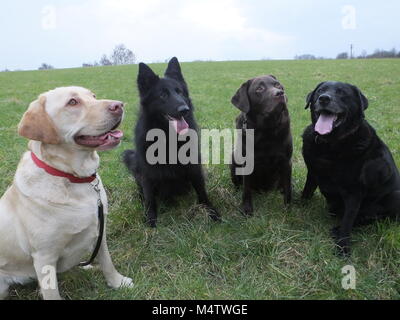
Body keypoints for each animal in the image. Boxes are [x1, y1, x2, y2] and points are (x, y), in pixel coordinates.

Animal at [122, 57, 220, 228]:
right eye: (163, 95)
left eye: (179, 92)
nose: (184, 109)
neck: (169, 137)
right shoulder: (148, 172)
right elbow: (150, 198)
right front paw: (151, 221)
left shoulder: (194, 166)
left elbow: (202, 191)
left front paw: (211, 211)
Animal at [304, 81, 400, 256]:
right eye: (320, 91)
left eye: (342, 93)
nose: (324, 98)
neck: (330, 144)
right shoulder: (313, 173)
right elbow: (306, 192)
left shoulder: (354, 192)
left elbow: (348, 221)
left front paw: (343, 246)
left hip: (395, 196)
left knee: (370, 218)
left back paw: (339, 228)